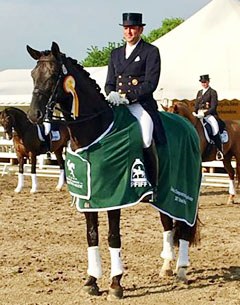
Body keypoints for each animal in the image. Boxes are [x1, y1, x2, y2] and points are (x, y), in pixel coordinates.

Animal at [26, 41, 202, 298]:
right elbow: (92, 235)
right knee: (168, 224)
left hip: (186, 191)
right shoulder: (88, 197)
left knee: (185, 226)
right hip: (165, 195)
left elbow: (113, 237)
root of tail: (188, 125)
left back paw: (181, 270)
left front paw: (116, 284)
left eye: (53, 75)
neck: (97, 132)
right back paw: (166, 267)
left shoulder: (115, 196)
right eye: (32, 75)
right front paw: (91, 281)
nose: (33, 115)